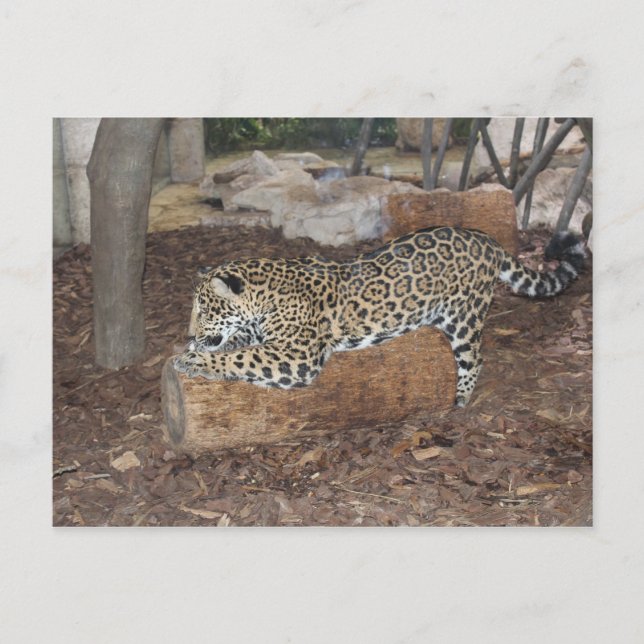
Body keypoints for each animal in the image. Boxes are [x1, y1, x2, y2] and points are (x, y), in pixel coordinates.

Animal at [174, 226, 586, 407]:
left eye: (204, 308)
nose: (191, 333)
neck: (267, 291)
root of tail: (486, 239)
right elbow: (239, 342)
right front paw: (193, 351)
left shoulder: (296, 356)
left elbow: (242, 356)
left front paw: (193, 359)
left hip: (465, 318)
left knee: (475, 358)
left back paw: (460, 399)